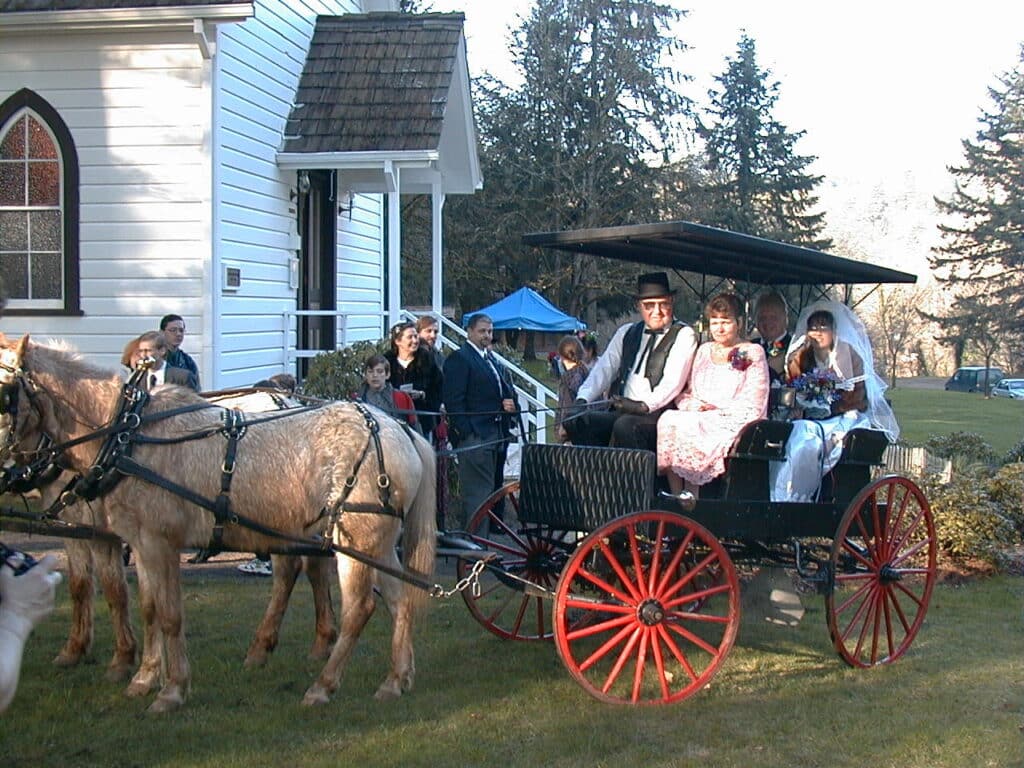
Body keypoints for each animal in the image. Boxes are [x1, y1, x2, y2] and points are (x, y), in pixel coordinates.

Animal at [0, 333, 436, 712]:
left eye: (5, 394)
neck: (129, 435)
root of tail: (400, 430)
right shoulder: (138, 541)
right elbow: (148, 608)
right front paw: (143, 678)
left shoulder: (157, 540)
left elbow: (169, 614)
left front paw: (171, 690)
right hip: (376, 544)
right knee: (398, 599)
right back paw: (395, 679)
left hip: (356, 541)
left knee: (359, 607)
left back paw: (323, 686)